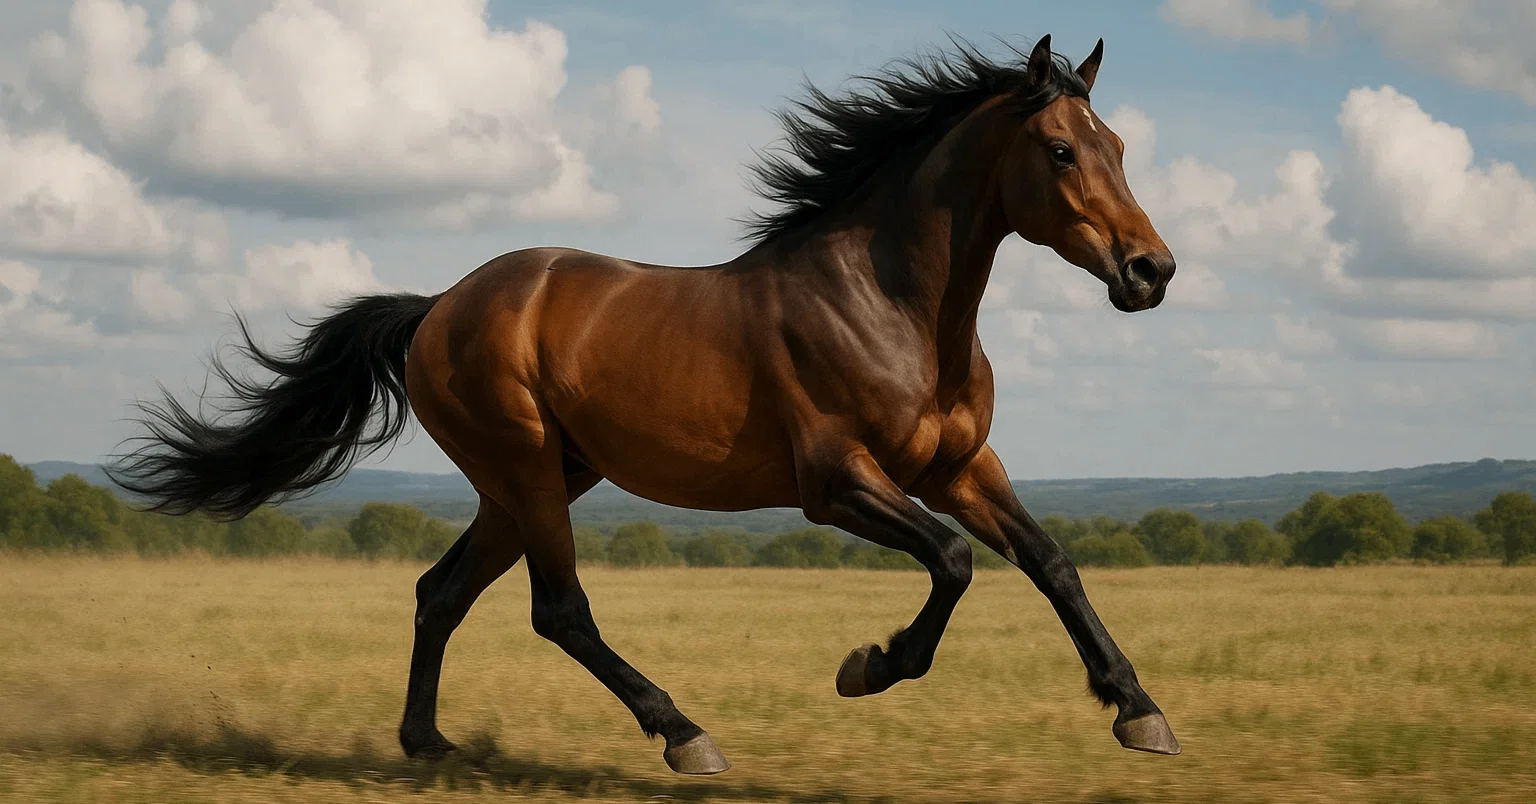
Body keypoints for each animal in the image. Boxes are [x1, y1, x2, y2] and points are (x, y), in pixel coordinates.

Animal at [110, 35, 1181, 775]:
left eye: (1121, 145)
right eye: (1058, 150)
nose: (1151, 271)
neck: (893, 307)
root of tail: (436, 308)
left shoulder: (958, 467)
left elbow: (1051, 561)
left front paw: (1138, 710)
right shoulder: (836, 484)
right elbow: (955, 563)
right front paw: (867, 666)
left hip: (535, 481)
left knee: (441, 593)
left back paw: (427, 743)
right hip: (528, 471)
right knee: (559, 610)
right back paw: (683, 733)